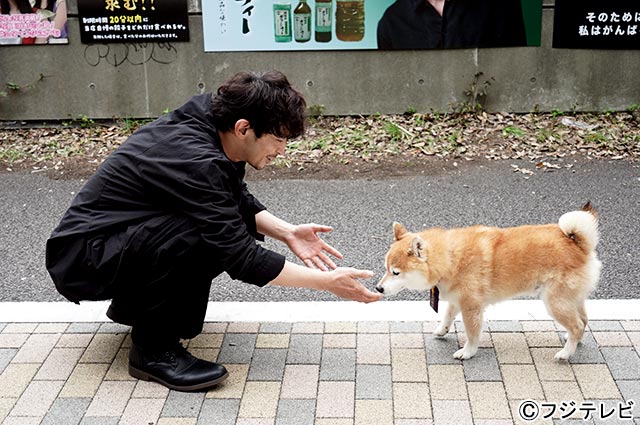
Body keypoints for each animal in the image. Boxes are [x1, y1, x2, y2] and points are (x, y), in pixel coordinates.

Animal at [376, 202, 600, 358]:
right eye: (385, 268)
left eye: (395, 272)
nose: (378, 288)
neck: (450, 258)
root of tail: (578, 245)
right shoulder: (457, 299)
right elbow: (447, 316)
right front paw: (442, 331)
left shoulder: (471, 307)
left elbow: (472, 333)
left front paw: (467, 352)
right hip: (570, 299)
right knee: (583, 321)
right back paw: (573, 341)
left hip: (554, 302)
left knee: (577, 325)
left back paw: (566, 353)